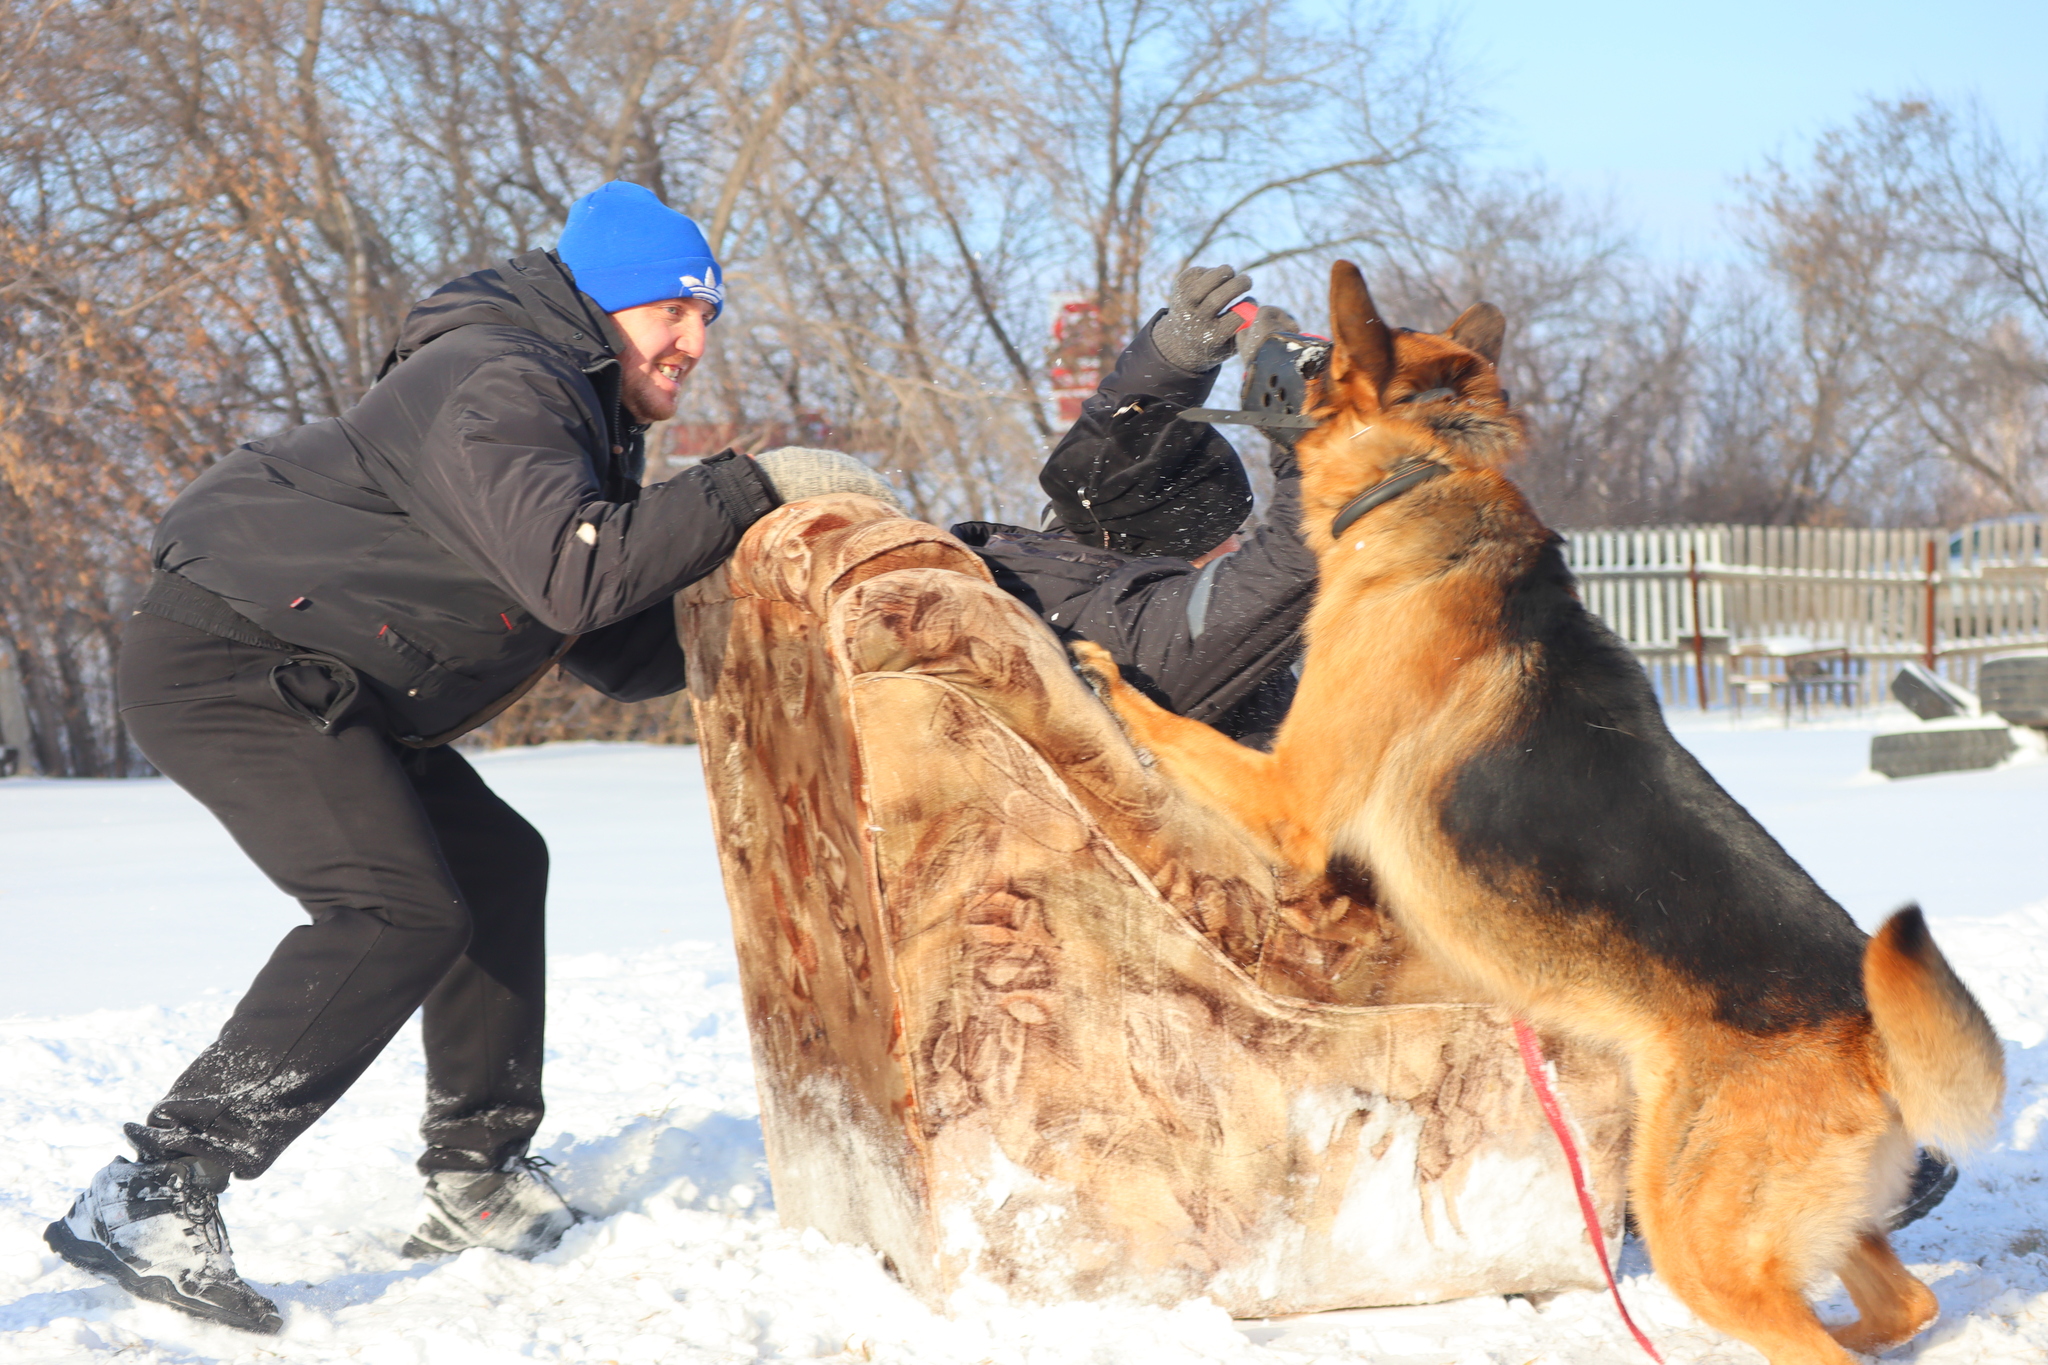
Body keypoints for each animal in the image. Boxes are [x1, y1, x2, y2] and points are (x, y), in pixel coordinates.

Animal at [1081, 263, 2007, 1365]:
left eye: (1313, 355)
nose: (1243, 321)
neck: (1427, 475)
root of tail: (1869, 1033)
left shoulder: (1286, 802)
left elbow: (1170, 724)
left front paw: (1100, 669)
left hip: (1693, 1229)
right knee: (1902, 1304)